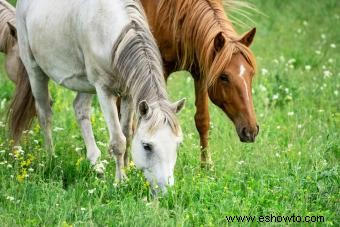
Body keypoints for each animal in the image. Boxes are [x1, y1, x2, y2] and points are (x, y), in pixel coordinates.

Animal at [11, 0, 186, 192]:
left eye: (178, 144)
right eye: (147, 146)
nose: (165, 190)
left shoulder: (128, 93)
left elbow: (128, 134)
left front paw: (127, 171)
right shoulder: (104, 90)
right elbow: (118, 141)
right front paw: (120, 181)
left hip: (86, 84)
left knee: (80, 109)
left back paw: (97, 165)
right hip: (35, 70)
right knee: (45, 114)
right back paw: (51, 160)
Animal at [141, 0, 260, 167]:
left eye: (251, 74)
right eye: (224, 77)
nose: (251, 131)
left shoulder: (202, 73)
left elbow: (202, 120)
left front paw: (206, 165)